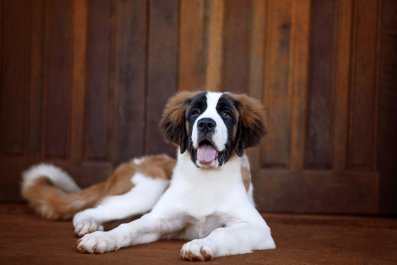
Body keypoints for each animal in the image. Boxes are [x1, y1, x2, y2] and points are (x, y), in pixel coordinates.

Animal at [20, 91, 276, 260]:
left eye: (225, 113)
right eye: (195, 112)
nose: (205, 123)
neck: (205, 178)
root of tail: (132, 163)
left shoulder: (258, 229)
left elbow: (223, 232)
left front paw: (200, 245)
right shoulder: (159, 219)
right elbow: (129, 228)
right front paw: (102, 239)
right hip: (150, 189)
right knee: (87, 211)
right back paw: (90, 225)